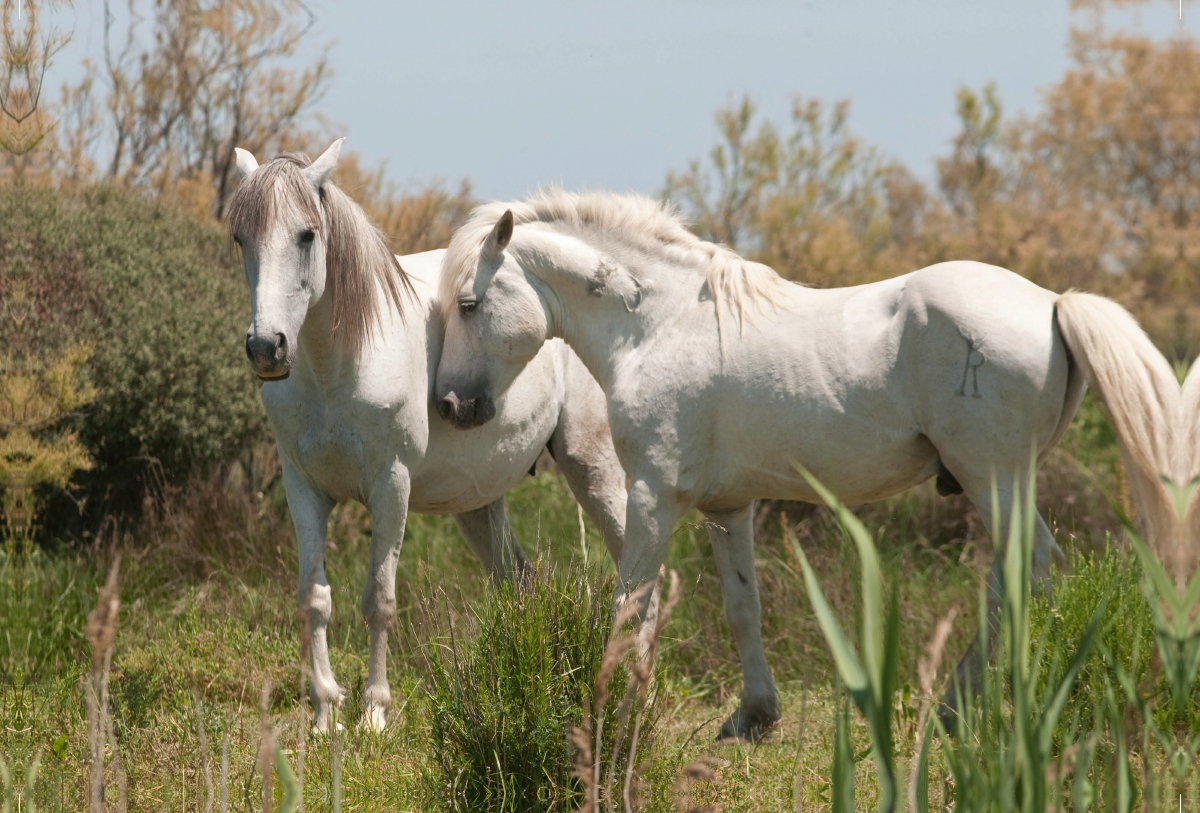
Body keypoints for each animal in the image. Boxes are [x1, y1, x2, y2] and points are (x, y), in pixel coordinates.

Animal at [230, 143, 633, 733]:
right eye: (241, 238)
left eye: (306, 235)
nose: (267, 348)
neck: (336, 367)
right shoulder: (303, 489)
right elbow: (314, 598)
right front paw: (325, 713)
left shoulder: (390, 486)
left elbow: (378, 599)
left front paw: (374, 713)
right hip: (479, 505)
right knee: (518, 582)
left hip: (593, 469)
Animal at [432, 189, 1180, 738]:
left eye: (469, 304)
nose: (452, 404)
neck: (658, 325)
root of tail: (1053, 303)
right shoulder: (727, 507)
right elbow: (741, 606)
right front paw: (752, 716)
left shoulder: (651, 496)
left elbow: (631, 603)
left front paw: (616, 708)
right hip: (998, 483)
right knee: (1011, 577)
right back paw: (959, 705)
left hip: (993, 478)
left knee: (1031, 570)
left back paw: (978, 705)